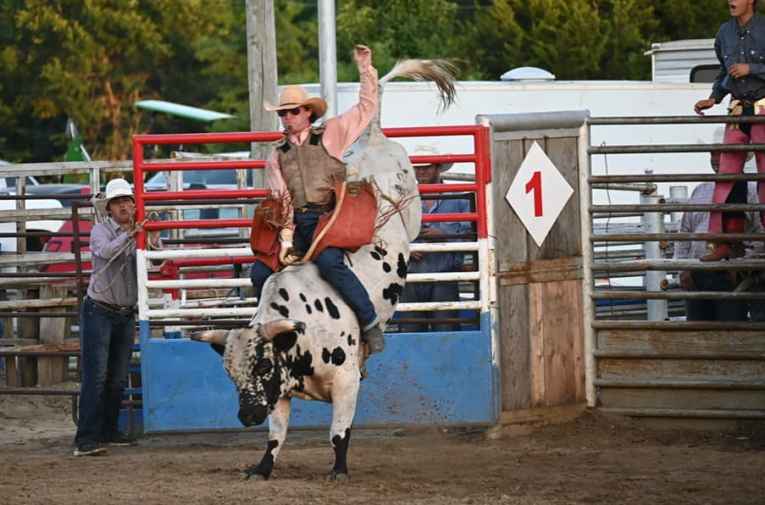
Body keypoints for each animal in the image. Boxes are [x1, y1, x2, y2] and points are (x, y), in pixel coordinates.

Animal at [192, 59, 454, 480]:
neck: (304, 331)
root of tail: (374, 135)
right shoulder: (279, 394)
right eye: (230, 372)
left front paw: (339, 469)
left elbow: (338, 432)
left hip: (411, 207)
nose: (247, 415)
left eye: (262, 364)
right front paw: (262, 468)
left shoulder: (347, 383)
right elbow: (277, 435)